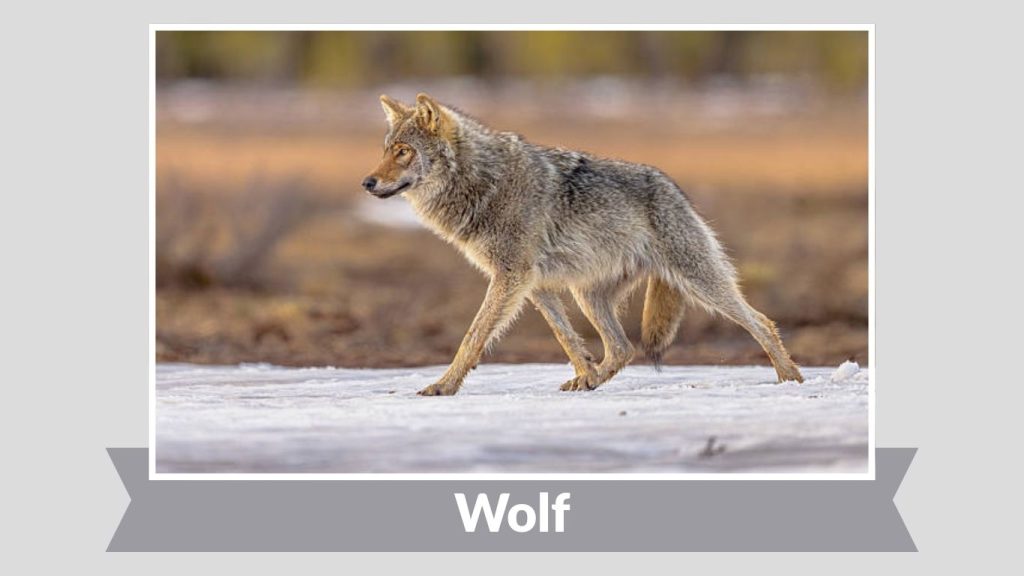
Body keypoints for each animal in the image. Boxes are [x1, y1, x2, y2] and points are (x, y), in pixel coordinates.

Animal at [362, 93, 804, 396]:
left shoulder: (511, 277)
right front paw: (585, 374)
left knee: (761, 321)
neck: (485, 183)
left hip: (699, 283)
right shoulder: (533, 285)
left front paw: (443, 386)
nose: (367, 182)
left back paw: (791, 378)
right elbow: (567, 339)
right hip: (587, 294)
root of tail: (673, 186)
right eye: (385, 150)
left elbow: (473, 337)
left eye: (403, 152)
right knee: (623, 348)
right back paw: (592, 381)